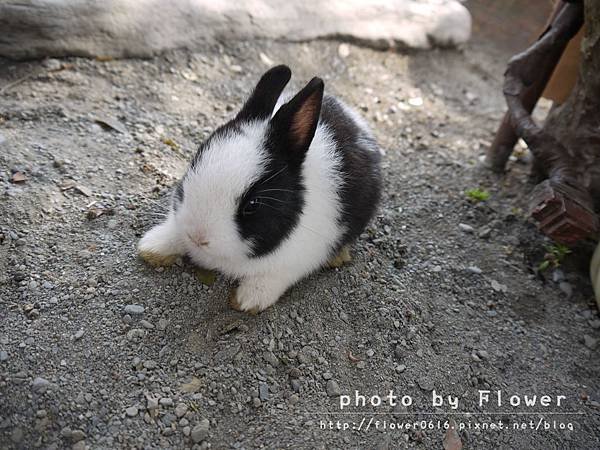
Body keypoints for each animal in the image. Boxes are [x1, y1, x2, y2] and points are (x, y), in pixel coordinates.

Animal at [138, 65, 382, 314]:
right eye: (192, 165)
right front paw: (152, 248)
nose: (197, 237)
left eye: (252, 205)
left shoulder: (296, 261)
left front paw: (247, 300)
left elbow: (272, 278)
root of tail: (354, 118)